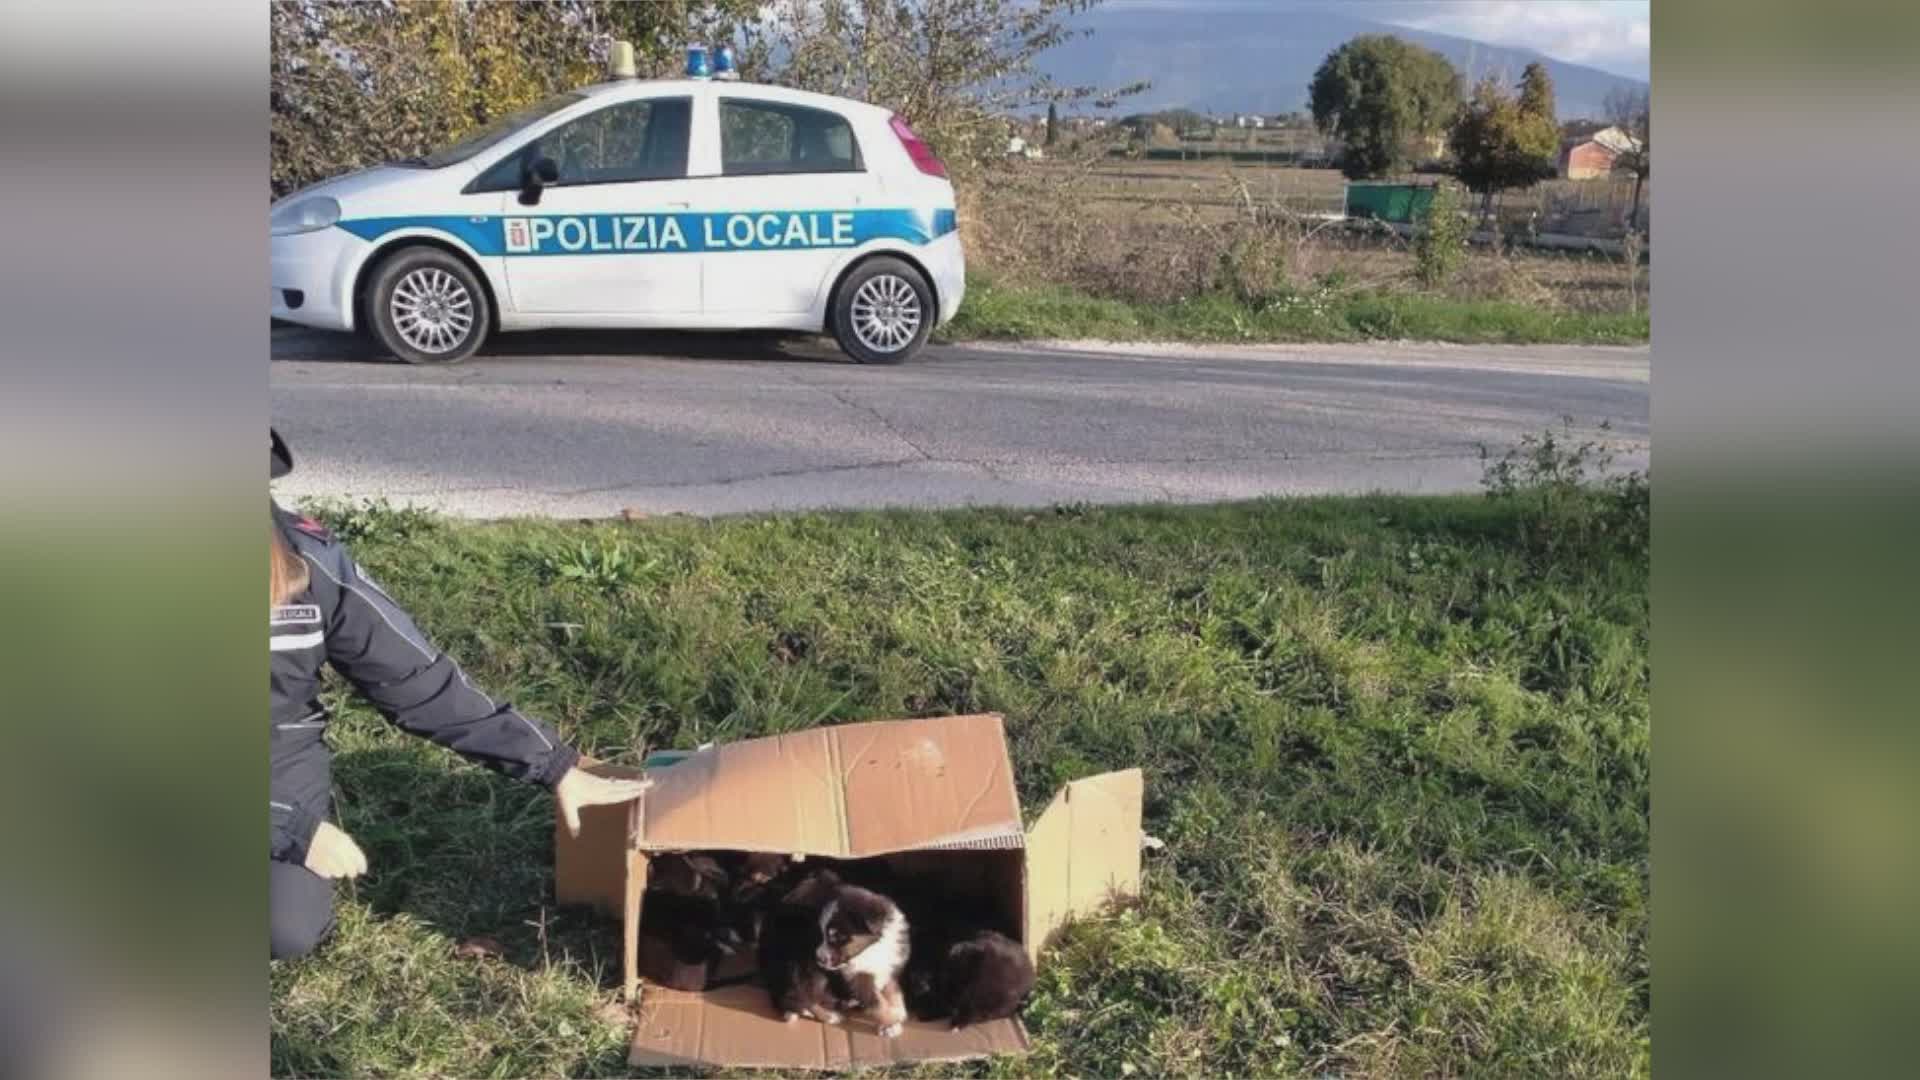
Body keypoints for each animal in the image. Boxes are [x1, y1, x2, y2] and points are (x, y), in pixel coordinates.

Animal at [814, 883, 910, 1037]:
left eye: (838, 937)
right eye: (823, 934)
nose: (818, 958)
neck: (871, 948)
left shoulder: (889, 967)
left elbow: (893, 990)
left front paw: (897, 1011)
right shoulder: (859, 979)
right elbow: (877, 1003)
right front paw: (891, 1023)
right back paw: (829, 1015)